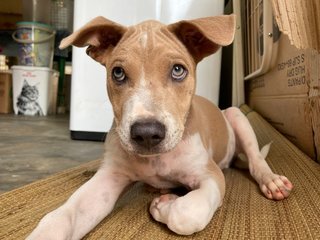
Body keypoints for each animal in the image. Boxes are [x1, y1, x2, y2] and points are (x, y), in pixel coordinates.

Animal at [26, 14, 292, 238]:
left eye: (178, 70)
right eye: (118, 73)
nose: (146, 134)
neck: (156, 160)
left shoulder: (210, 175)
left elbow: (188, 213)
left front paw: (164, 206)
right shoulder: (110, 177)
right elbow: (62, 216)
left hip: (237, 116)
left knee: (256, 160)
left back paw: (271, 180)